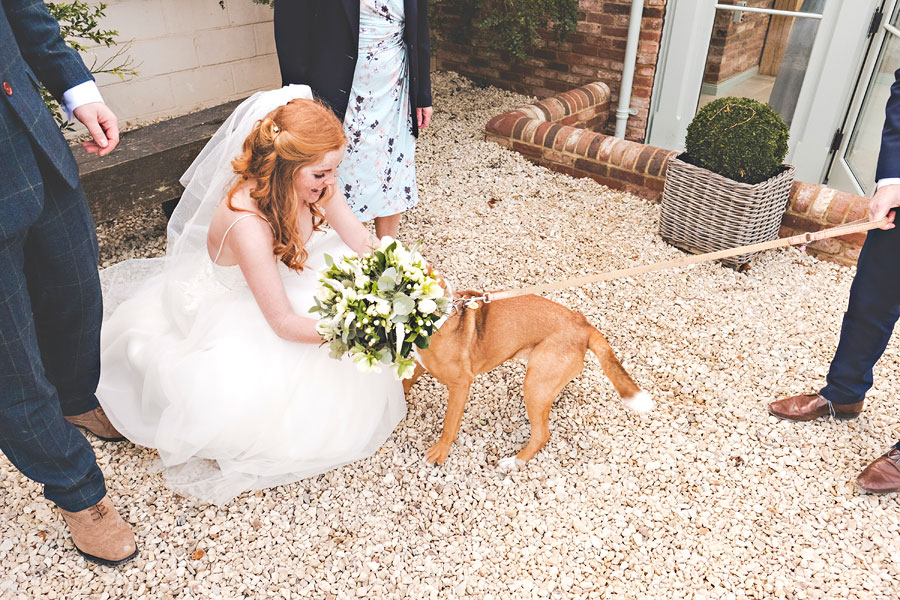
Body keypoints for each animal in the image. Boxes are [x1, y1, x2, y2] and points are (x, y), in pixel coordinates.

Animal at [404, 290, 652, 468]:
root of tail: (583, 325)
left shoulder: (461, 384)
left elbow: (449, 424)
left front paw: (440, 453)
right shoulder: (420, 363)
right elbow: (406, 381)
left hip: (533, 386)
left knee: (542, 434)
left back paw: (515, 461)